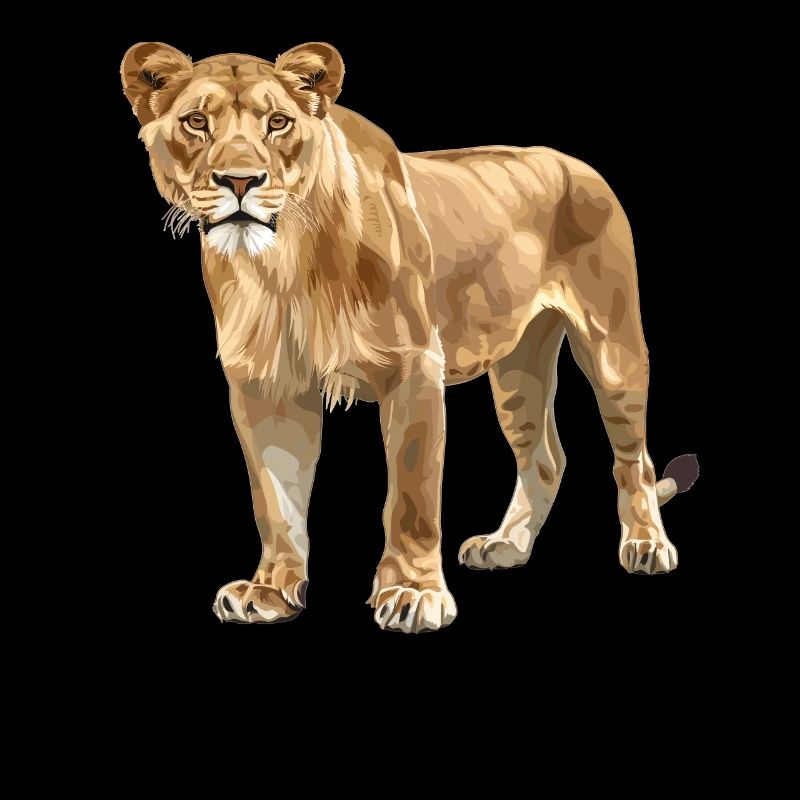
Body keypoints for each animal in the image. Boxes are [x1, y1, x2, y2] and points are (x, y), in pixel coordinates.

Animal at [121, 41, 698, 633]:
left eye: (278, 122)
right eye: (196, 122)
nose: (240, 181)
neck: (287, 261)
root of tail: (577, 163)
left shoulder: (415, 365)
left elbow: (411, 495)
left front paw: (413, 594)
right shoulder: (265, 385)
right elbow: (276, 499)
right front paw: (271, 590)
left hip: (613, 349)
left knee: (633, 458)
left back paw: (648, 546)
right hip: (519, 365)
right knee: (545, 456)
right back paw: (506, 546)